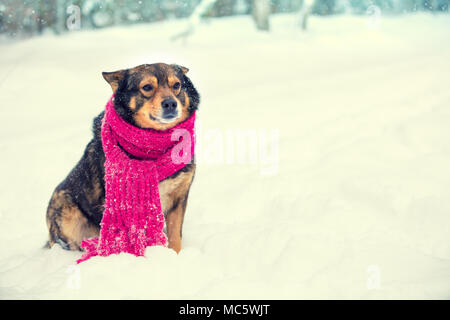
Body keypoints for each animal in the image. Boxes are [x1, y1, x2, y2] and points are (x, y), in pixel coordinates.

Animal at [46, 62, 200, 252]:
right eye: (147, 87)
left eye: (177, 85)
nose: (171, 103)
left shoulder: (179, 198)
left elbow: (175, 237)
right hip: (65, 210)